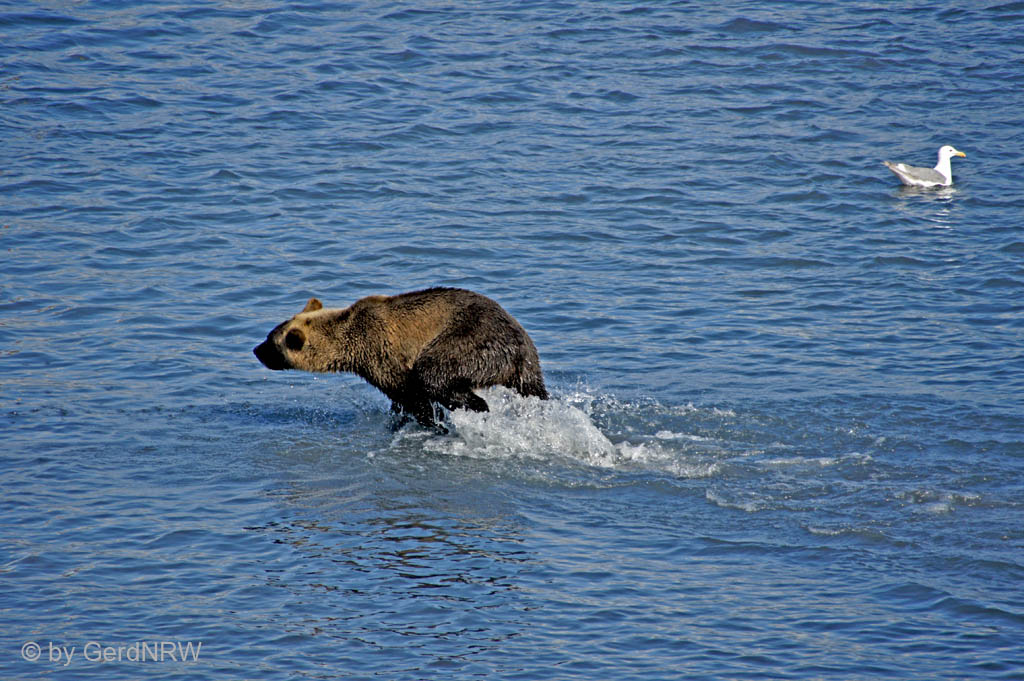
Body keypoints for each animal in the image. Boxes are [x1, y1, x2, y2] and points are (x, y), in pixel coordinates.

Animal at [253, 287, 548, 429]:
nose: (256, 350)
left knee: (434, 373)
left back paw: (475, 407)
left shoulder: (382, 353)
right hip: (519, 359)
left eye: (271, 342)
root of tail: (521, 352)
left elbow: (412, 395)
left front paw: (428, 420)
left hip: (471, 341)